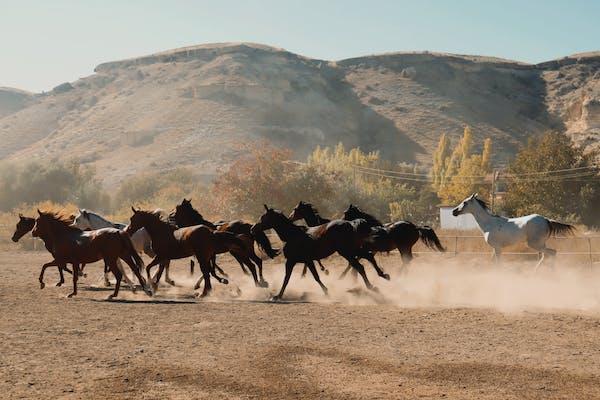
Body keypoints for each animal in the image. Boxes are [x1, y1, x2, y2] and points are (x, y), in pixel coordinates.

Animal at [252, 206, 386, 300]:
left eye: (263, 217)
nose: (253, 228)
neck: (292, 235)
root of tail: (350, 223)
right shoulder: (308, 260)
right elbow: (315, 276)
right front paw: (326, 291)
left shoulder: (291, 261)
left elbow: (287, 278)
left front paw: (277, 296)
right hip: (352, 249)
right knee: (368, 257)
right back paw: (383, 275)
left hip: (346, 251)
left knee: (360, 266)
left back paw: (372, 287)